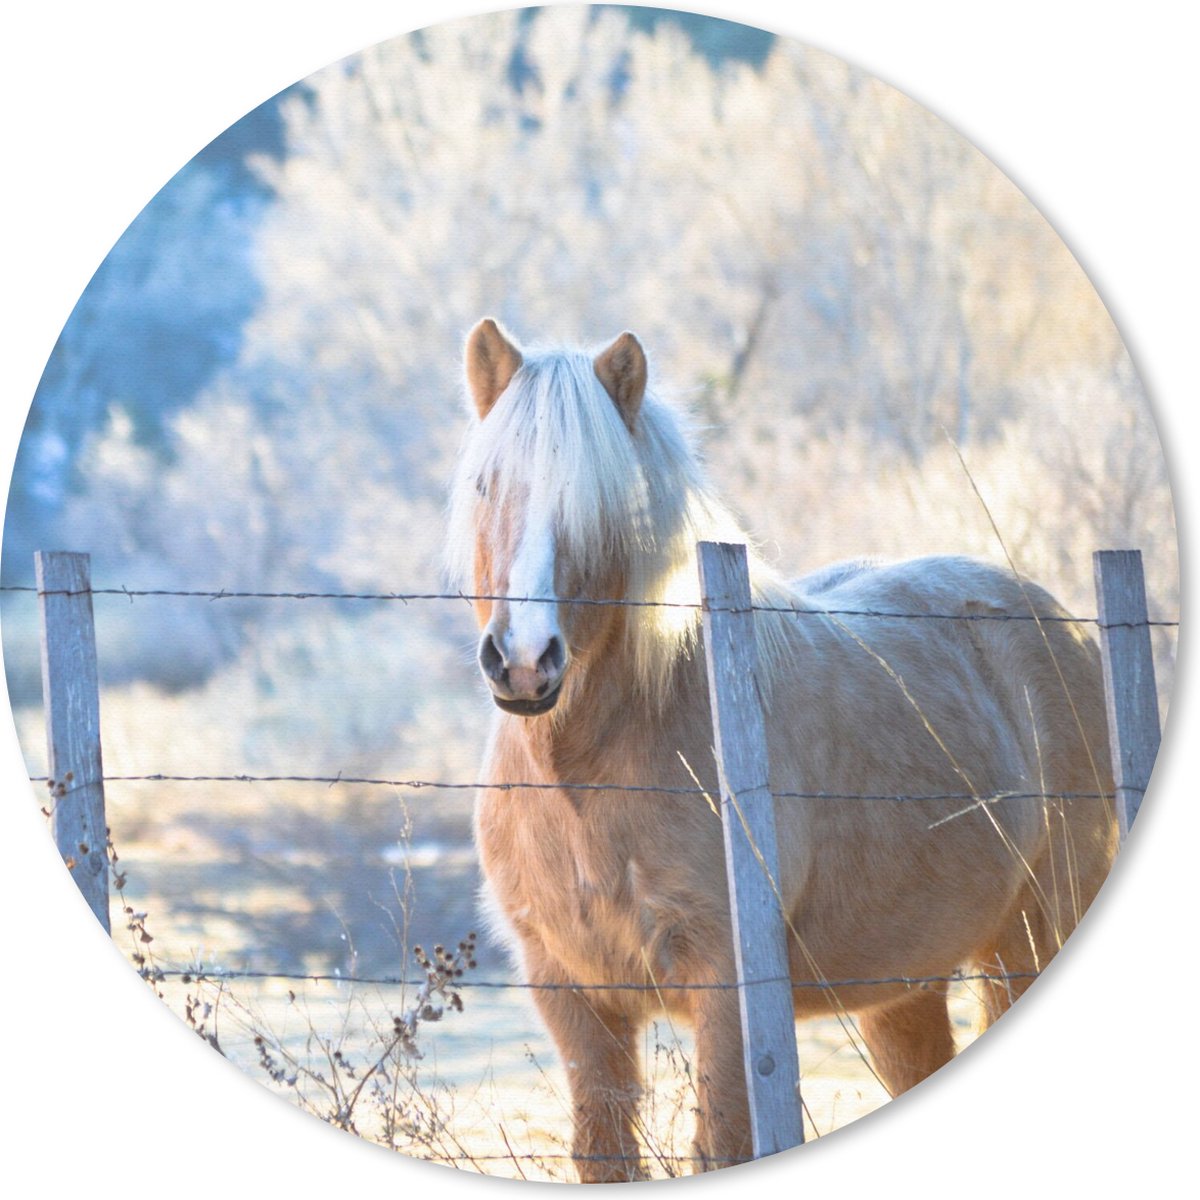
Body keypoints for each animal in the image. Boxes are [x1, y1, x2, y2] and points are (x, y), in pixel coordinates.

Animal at [446, 318, 1119, 1180]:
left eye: (604, 506)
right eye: (486, 485)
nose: (526, 661)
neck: (588, 781)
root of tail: (1061, 625)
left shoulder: (729, 996)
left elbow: (724, 1146)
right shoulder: (575, 1000)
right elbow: (605, 1154)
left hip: (1025, 945)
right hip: (907, 990)